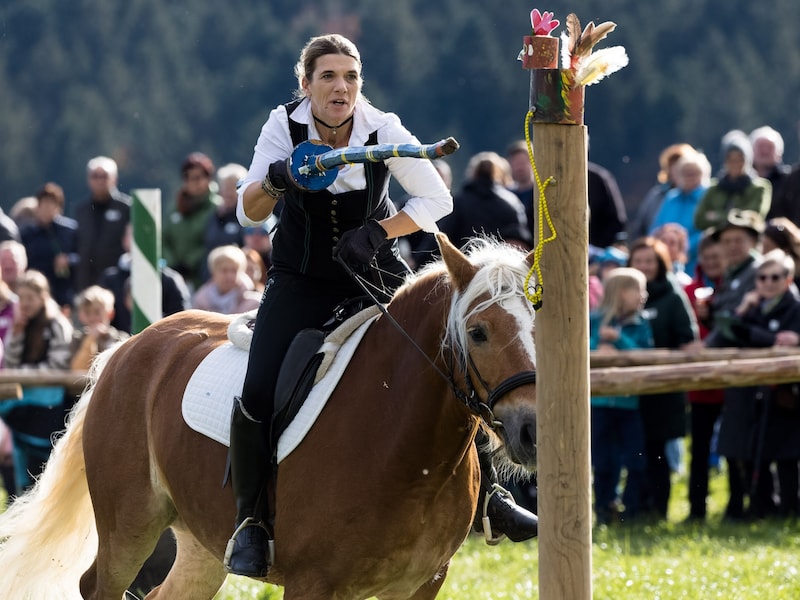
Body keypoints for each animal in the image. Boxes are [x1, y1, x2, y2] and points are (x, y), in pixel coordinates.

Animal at [0, 233, 540, 596]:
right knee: (98, 584)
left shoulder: (420, 585)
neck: (408, 450)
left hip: (201, 545)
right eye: (478, 332)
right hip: (128, 526)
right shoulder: (313, 584)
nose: (532, 431)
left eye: (539, 323)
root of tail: (126, 349)